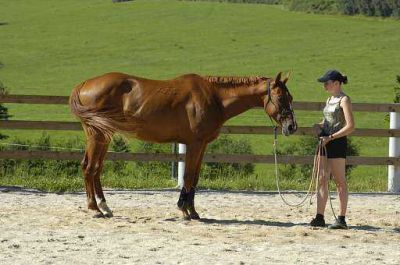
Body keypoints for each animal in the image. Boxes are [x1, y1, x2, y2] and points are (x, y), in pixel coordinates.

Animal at [69, 71, 296, 218]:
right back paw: (94, 209)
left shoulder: (202, 145)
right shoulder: (195, 143)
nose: (292, 126)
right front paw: (184, 209)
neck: (213, 97)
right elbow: (187, 176)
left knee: (95, 169)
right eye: (280, 97)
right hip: (97, 135)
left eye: (290, 96)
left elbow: (194, 177)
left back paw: (105, 207)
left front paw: (193, 211)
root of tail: (84, 84)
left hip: (104, 135)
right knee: (89, 168)